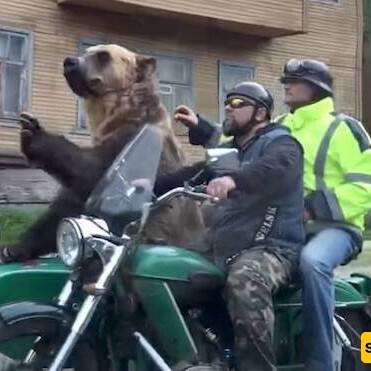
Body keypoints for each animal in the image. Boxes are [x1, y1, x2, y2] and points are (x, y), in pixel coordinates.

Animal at [0, 43, 206, 264]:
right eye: (87, 51)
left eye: (103, 55)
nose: (70, 62)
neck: (115, 115)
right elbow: (63, 209)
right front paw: (13, 249)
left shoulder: (135, 142)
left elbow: (94, 171)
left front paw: (33, 133)